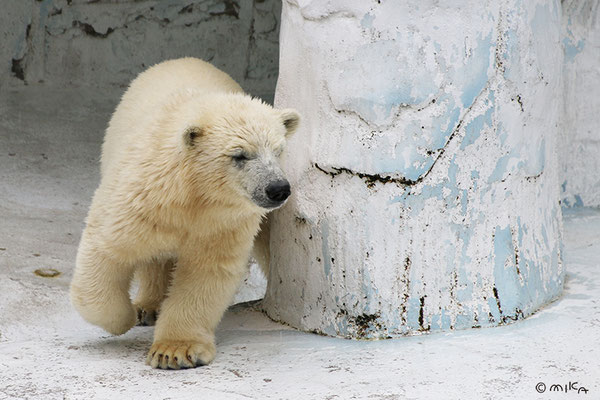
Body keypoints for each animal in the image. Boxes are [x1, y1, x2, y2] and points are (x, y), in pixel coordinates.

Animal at [69, 56, 300, 368]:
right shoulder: (140, 198)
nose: (278, 189)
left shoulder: (224, 221)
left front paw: (174, 351)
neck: (192, 194)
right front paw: (125, 317)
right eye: (239, 155)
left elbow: (205, 271)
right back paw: (146, 307)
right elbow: (107, 250)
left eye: (278, 150)